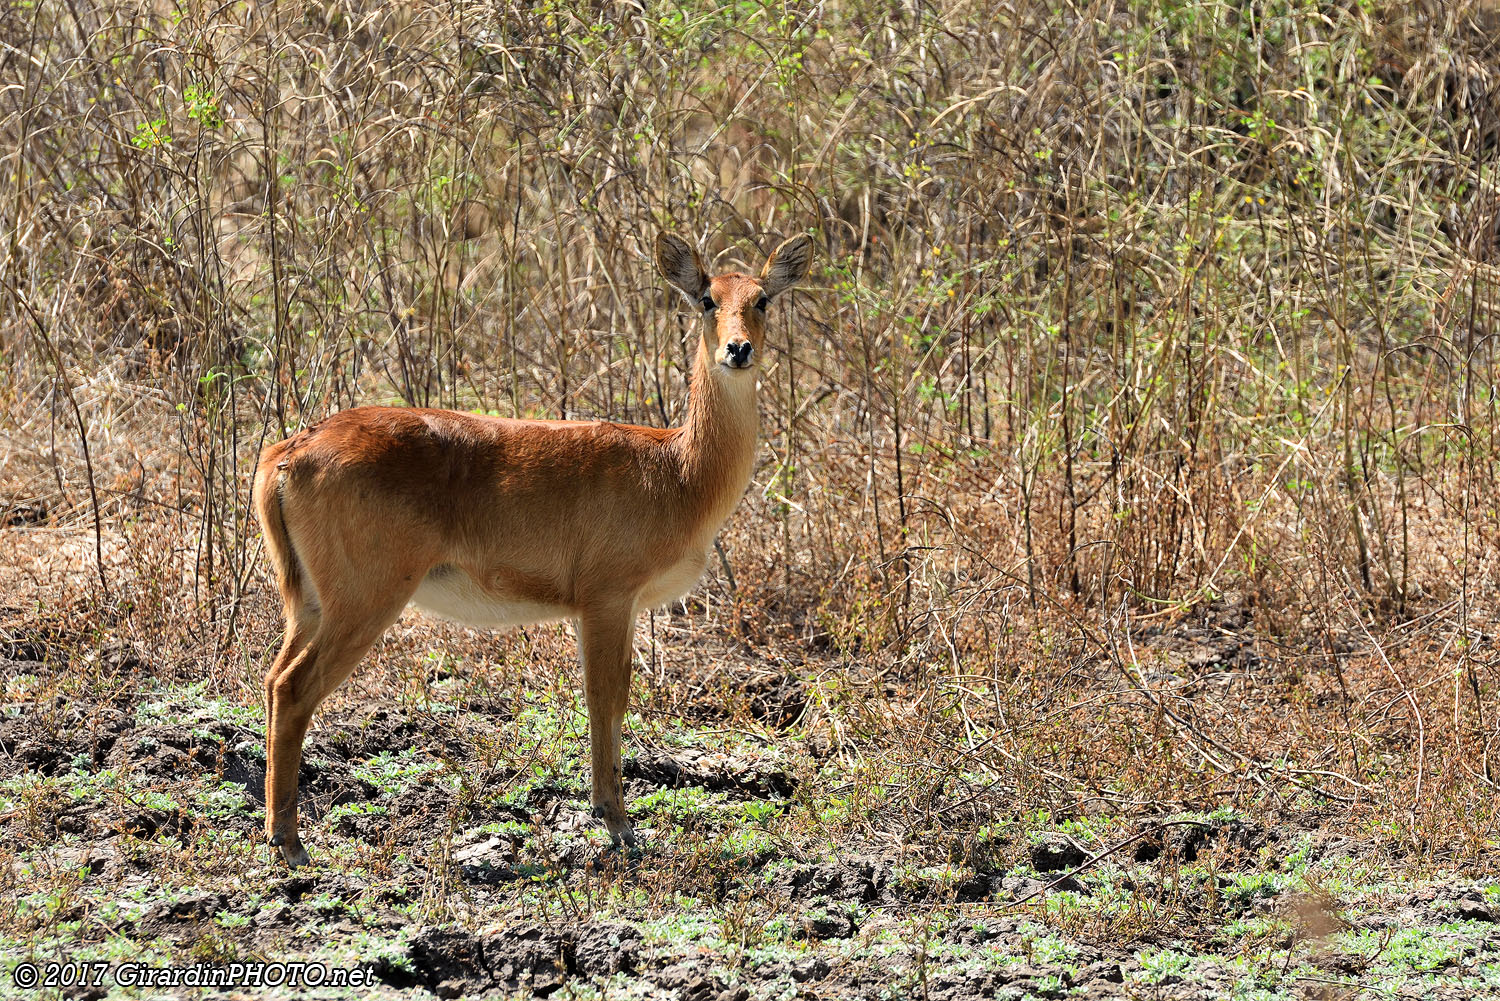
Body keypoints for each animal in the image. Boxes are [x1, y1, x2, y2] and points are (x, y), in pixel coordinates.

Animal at [252, 231, 816, 864]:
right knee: (294, 688)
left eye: (762, 299)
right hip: (365, 599)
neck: (677, 471)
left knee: (273, 681)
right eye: (706, 299)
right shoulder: (605, 598)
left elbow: (614, 697)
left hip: (309, 603)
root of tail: (288, 452)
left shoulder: (616, 607)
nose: (738, 350)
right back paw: (290, 843)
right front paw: (616, 821)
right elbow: (604, 696)